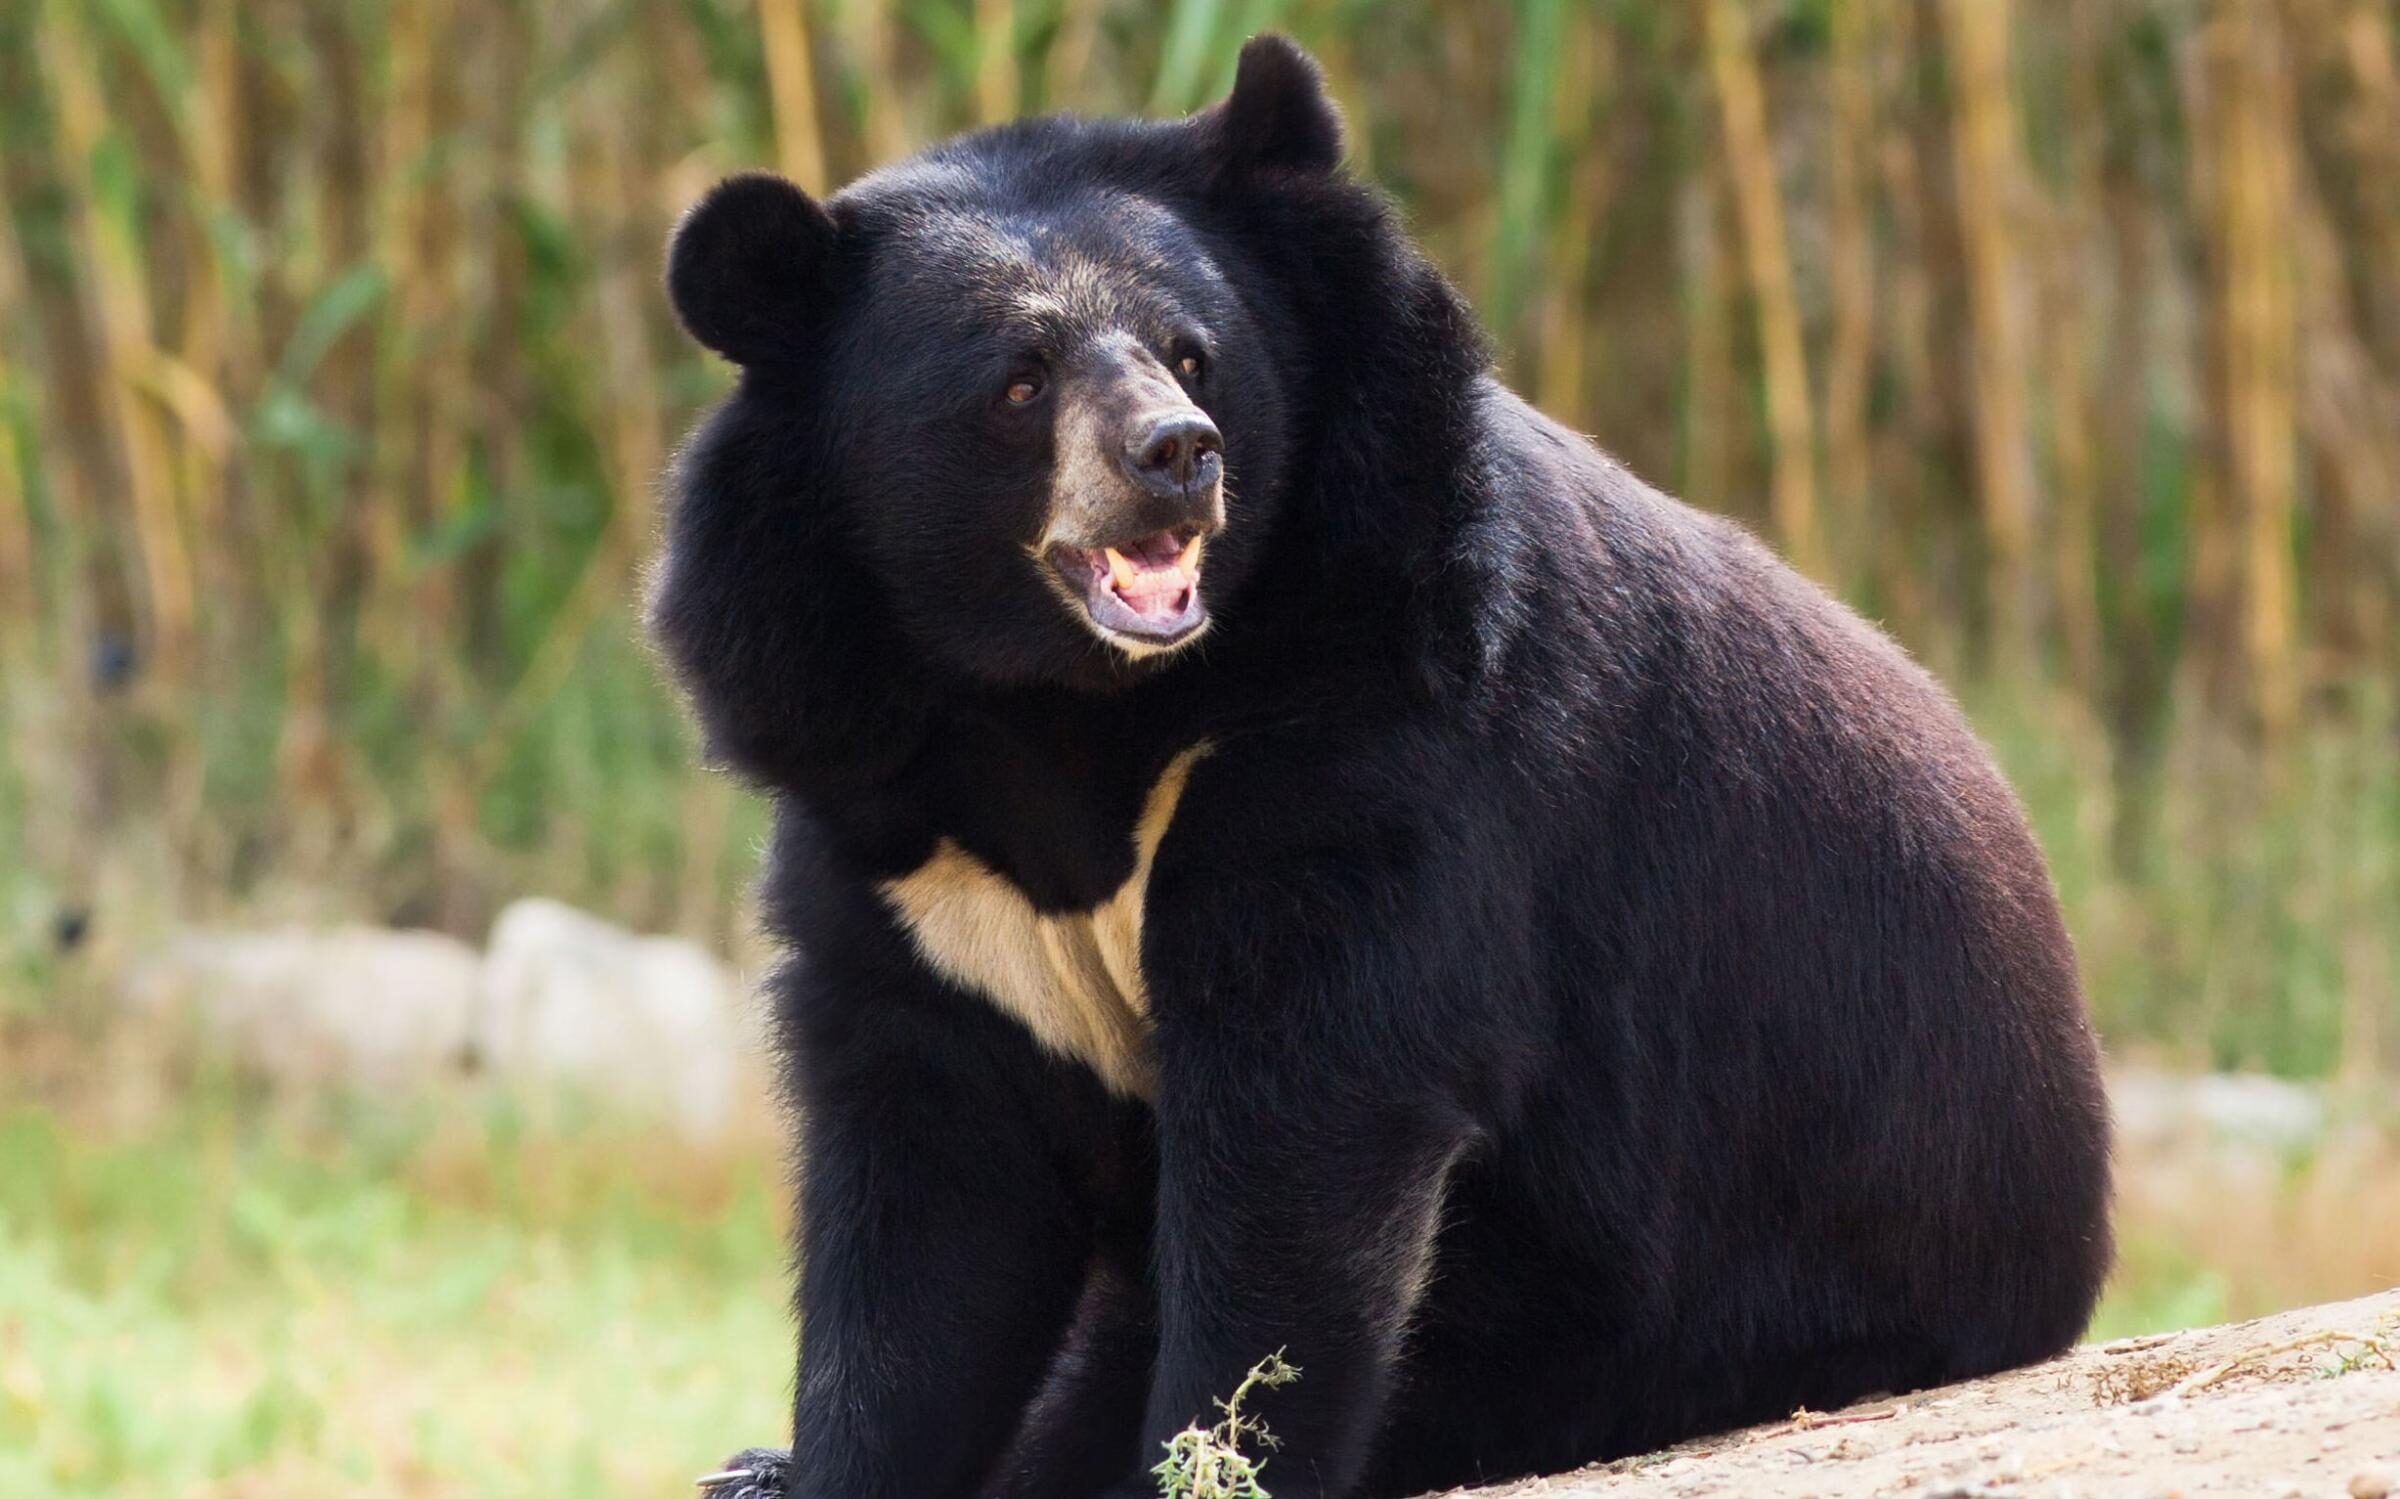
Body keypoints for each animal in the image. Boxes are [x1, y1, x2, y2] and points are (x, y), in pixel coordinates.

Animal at [649, 35, 2112, 1499]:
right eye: (1018, 378)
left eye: (1193, 353)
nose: (1177, 455)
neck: (1068, 702)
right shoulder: (897, 831)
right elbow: (926, 1199)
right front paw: (827, 1458)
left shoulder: (1373, 735)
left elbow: (1308, 1130)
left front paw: (1204, 1460)